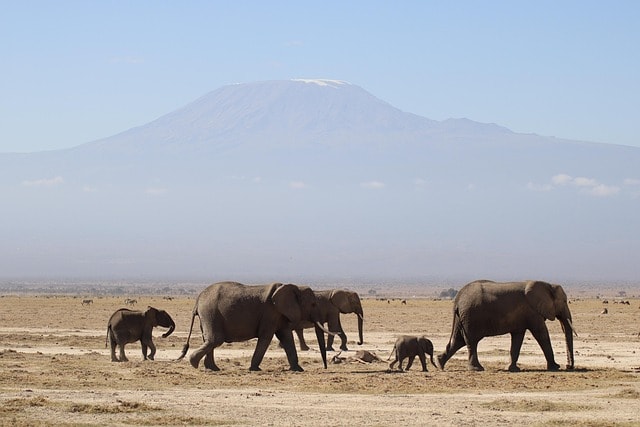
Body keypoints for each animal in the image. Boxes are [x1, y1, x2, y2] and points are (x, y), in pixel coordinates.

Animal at [177, 281, 331, 372]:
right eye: (313, 304)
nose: (324, 368)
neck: (294, 287)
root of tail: (197, 300)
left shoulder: (279, 314)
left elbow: (286, 337)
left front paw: (298, 369)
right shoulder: (270, 313)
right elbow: (266, 337)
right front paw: (254, 369)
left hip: (208, 315)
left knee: (209, 340)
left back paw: (213, 368)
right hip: (210, 313)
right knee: (216, 339)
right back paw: (194, 363)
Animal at [437, 280, 576, 372]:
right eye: (564, 301)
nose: (569, 366)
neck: (548, 285)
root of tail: (457, 300)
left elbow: (517, 338)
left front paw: (512, 369)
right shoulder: (532, 312)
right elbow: (541, 334)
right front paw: (555, 367)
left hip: (463, 318)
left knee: (458, 341)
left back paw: (439, 363)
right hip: (470, 317)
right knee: (471, 341)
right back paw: (477, 369)